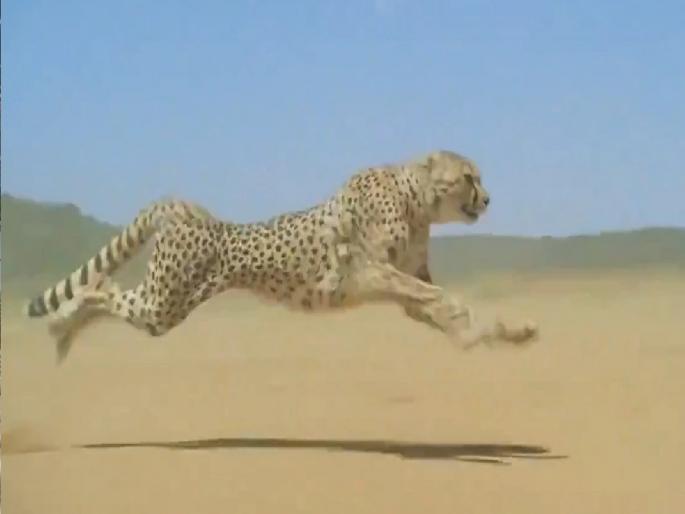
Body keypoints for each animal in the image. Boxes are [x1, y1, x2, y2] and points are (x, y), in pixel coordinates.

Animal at [24, 150, 538, 362]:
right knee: (101, 287)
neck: (416, 198)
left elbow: (432, 301)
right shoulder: (371, 270)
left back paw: (63, 331)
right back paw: (60, 326)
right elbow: (437, 296)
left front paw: (503, 332)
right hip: (164, 304)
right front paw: (470, 326)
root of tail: (188, 208)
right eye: (469, 177)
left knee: (103, 287)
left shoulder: (401, 285)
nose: (487, 198)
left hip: (166, 301)